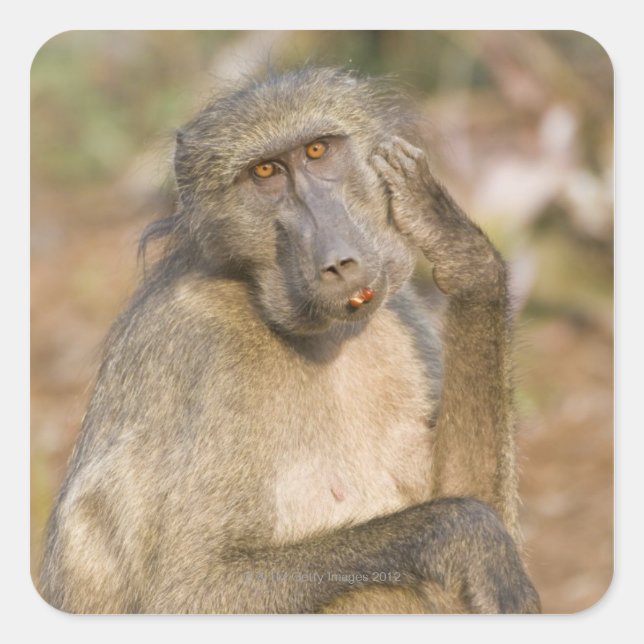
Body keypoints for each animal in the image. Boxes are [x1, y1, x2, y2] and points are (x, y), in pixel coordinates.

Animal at [38, 67, 540, 614]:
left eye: (318, 151)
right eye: (265, 173)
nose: (339, 262)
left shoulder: (401, 313)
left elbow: (473, 498)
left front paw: (454, 243)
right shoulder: (203, 347)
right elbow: (189, 589)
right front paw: (468, 535)